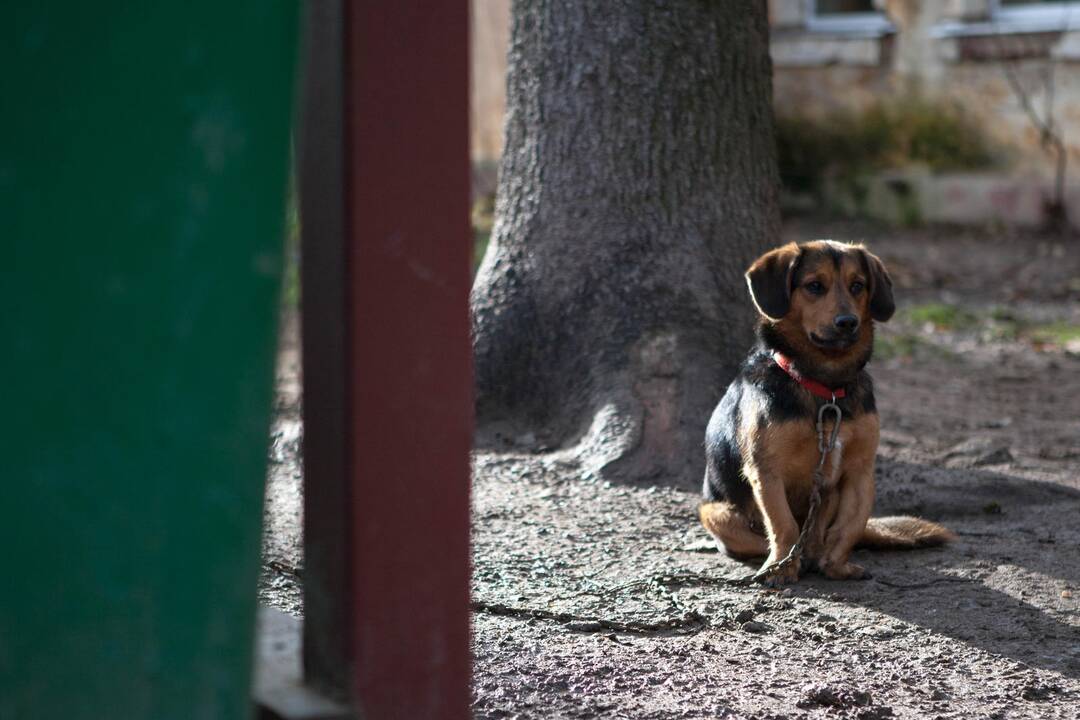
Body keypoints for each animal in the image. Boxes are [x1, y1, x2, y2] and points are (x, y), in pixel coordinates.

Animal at [699, 240, 954, 587]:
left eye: (857, 285)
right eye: (814, 286)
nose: (848, 322)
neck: (826, 387)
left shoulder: (860, 470)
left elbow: (849, 527)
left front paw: (836, 566)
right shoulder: (766, 470)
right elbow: (783, 525)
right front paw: (781, 568)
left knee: (823, 536)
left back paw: (815, 556)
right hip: (715, 513)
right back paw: (788, 561)